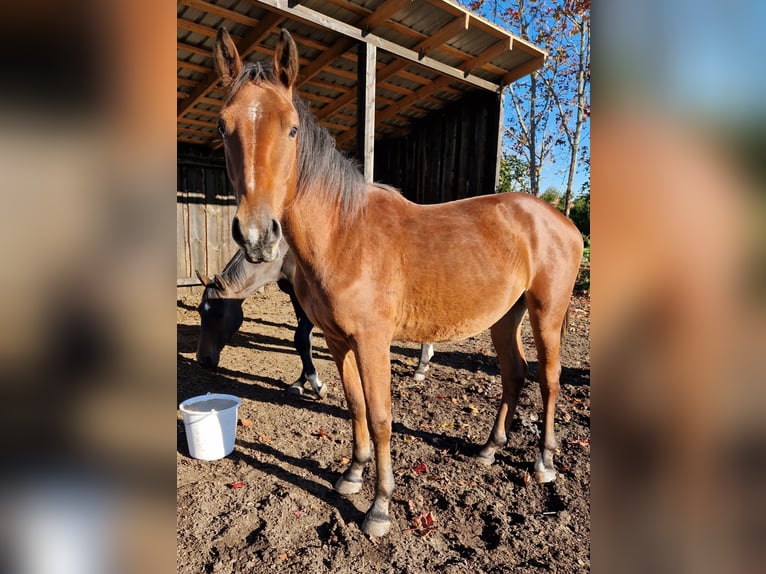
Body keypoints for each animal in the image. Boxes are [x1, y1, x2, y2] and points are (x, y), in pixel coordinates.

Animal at [213, 29, 584, 536]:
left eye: (291, 129)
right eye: (222, 126)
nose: (257, 235)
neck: (346, 233)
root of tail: (560, 220)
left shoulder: (373, 342)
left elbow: (381, 416)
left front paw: (380, 506)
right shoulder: (338, 341)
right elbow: (355, 406)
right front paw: (352, 474)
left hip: (547, 313)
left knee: (549, 379)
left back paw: (544, 462)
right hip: (504, 317)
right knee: (515, 373)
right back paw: (490, 449)